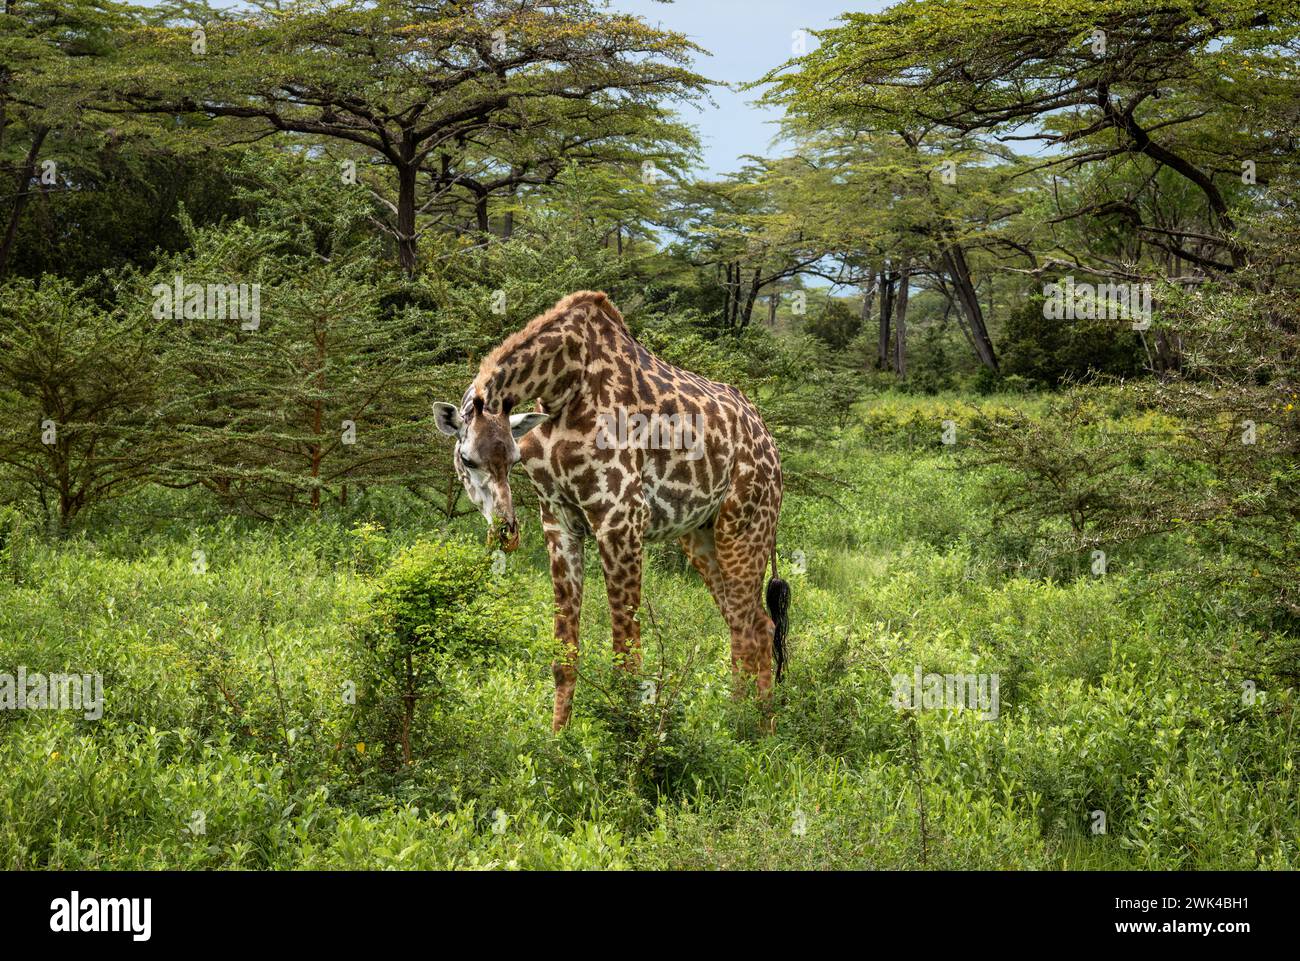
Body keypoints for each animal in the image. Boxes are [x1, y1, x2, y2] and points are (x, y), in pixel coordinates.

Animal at [431, 289, 785, 733]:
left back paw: (756, 730)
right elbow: (563, 655)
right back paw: (741, 722)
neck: (564, 388)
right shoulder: (559, 522)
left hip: (746, 524)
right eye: (468, 459)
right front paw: (558, 738)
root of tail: (769, 440)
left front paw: (628, 740)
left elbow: (627, 661)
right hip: (701, 535)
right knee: (750, 622)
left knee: (753, 625)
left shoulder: (621, 519)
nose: (507, 530)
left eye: (512, 460)